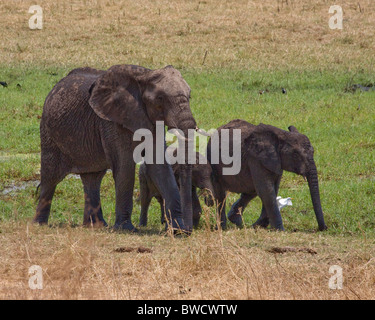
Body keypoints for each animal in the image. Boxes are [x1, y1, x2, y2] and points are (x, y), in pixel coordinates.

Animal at [33, 64, 201, 232]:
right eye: (160, 98)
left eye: (190, 96)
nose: (189, 228)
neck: (145, 75)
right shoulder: (112, 121)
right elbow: (125, 166)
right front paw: (126, 229)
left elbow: (159, 165)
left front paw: (178, 230)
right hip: (48, 133)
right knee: (50, 177)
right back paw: (40, 224)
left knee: (92, 178)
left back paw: (96, 225)